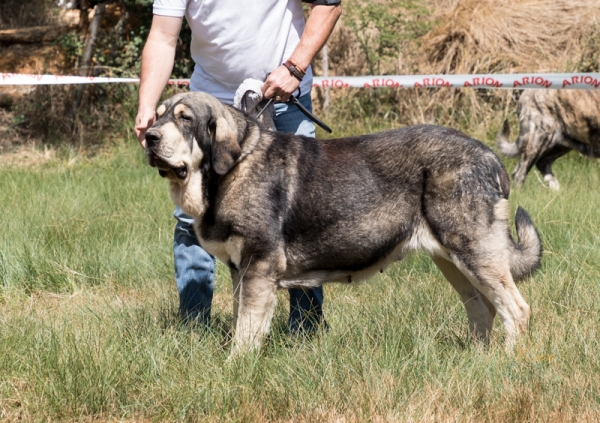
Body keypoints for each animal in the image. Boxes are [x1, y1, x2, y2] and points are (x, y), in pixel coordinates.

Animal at [146, 93, 544, 358]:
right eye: (157, 115)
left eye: (184, 119)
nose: (149, 136)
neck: (232, 168)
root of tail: (490, 158)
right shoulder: (240, 271)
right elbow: (243, 321)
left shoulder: (258, 267)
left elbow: (247, 328)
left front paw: (236, 366)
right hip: (452, 261)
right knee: (482, 309)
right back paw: (477, 360)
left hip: (474, 252)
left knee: (516, 309)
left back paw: (507, 361)